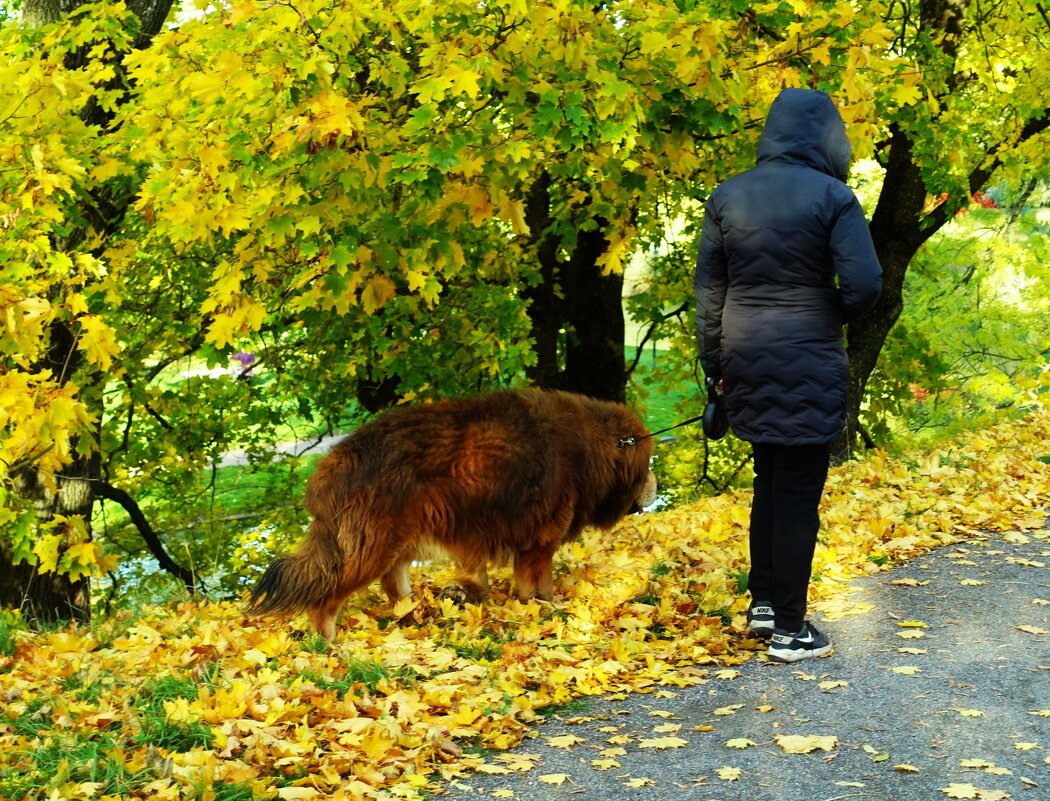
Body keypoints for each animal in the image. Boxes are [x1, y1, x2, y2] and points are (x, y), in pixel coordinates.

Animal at [245, 388, 655, 638]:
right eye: (648, 463)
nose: (656, 485)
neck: (591, 446)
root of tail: (335, 462)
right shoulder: (538, 542)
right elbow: (539, 585)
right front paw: (547, 610)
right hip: (373, 545)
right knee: (326, 597)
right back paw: (326, 644)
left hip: (401, 538)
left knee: (393, 585)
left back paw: (410, 615)